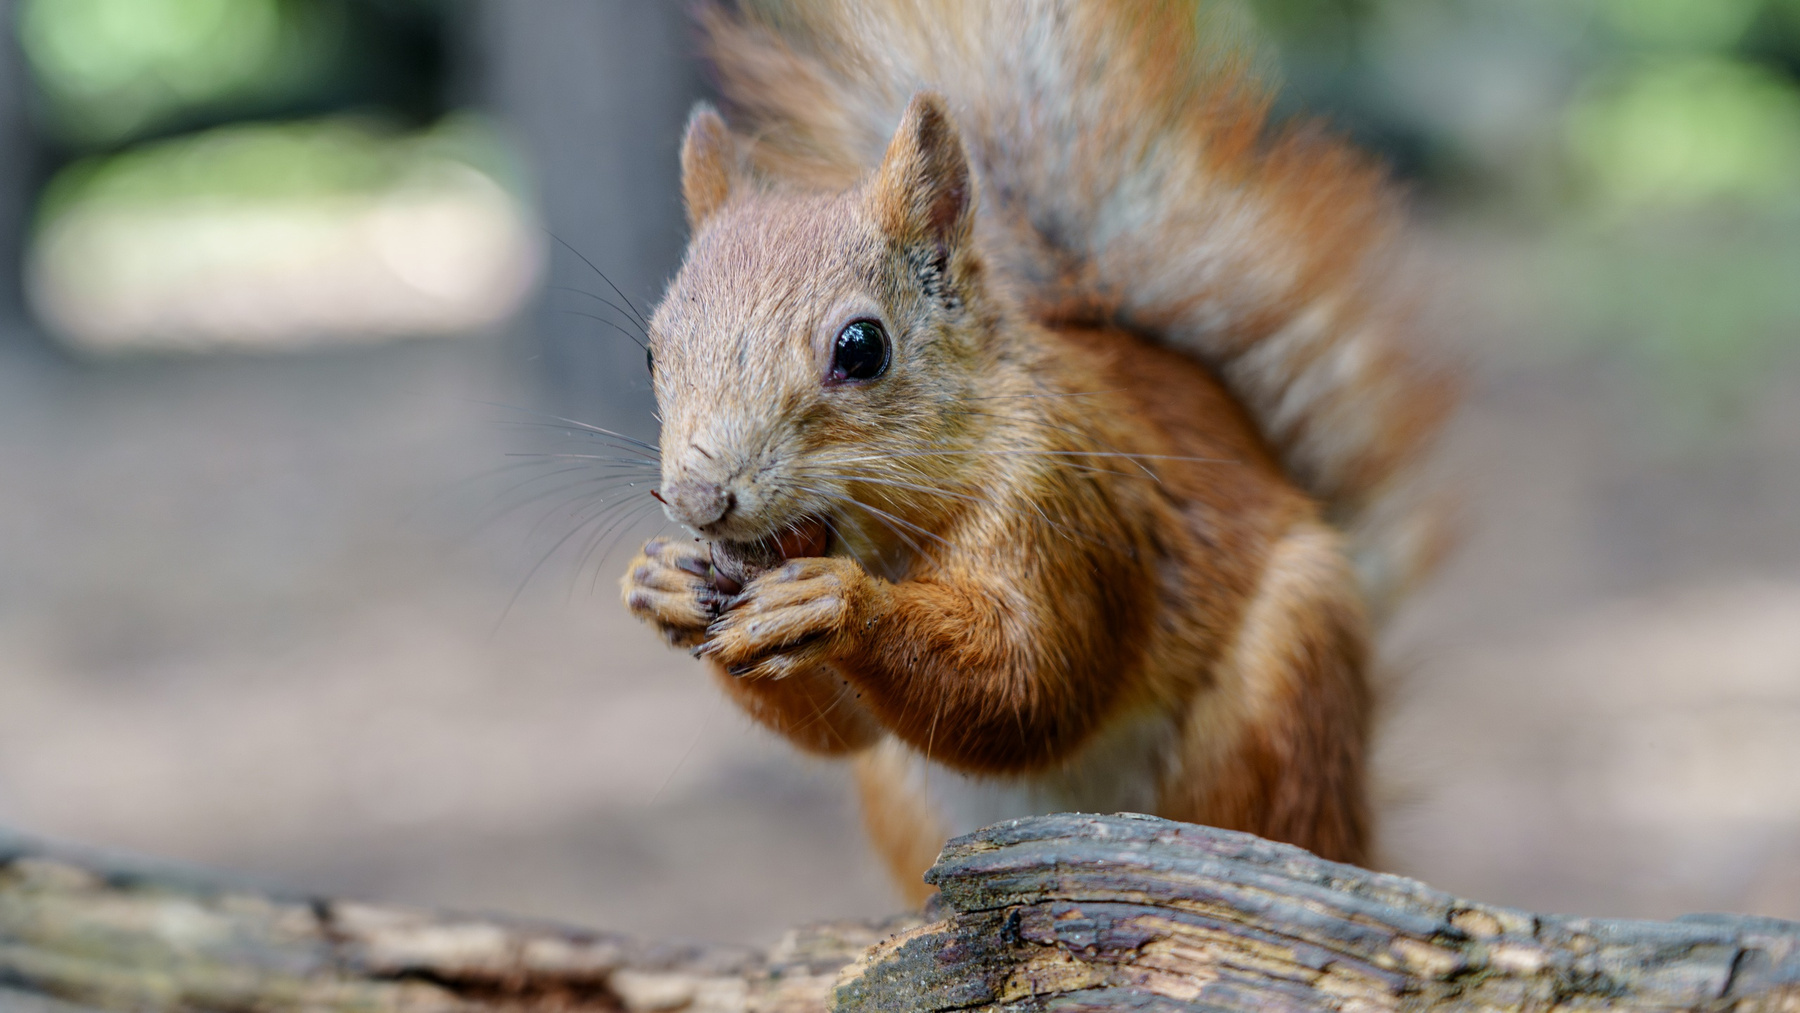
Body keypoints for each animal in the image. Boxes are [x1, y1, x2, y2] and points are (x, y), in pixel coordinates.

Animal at [620, 0, 1450, 903]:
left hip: (1289, 689)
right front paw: (660, 580)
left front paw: (837, 603)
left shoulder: (1063, 504)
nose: (699, 499)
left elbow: (1029, 685)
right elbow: (838, 730)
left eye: (862, 347)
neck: (896, 537)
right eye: (653, 353)